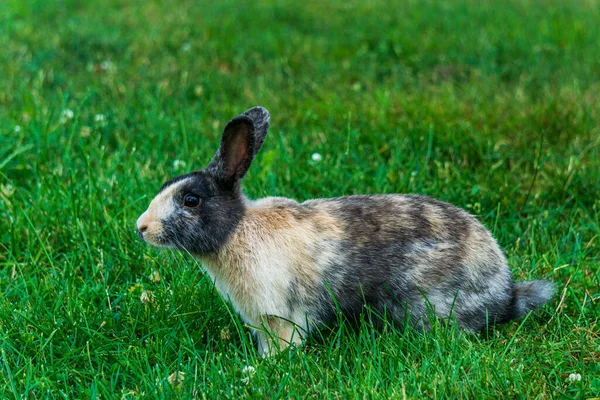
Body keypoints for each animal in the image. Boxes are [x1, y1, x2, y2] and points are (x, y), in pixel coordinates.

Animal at [136, 106, 552, 356]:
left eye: (191, 199)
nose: (141, 227)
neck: (238, 230)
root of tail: (505, 293)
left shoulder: (282, 316)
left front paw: (264, 368)